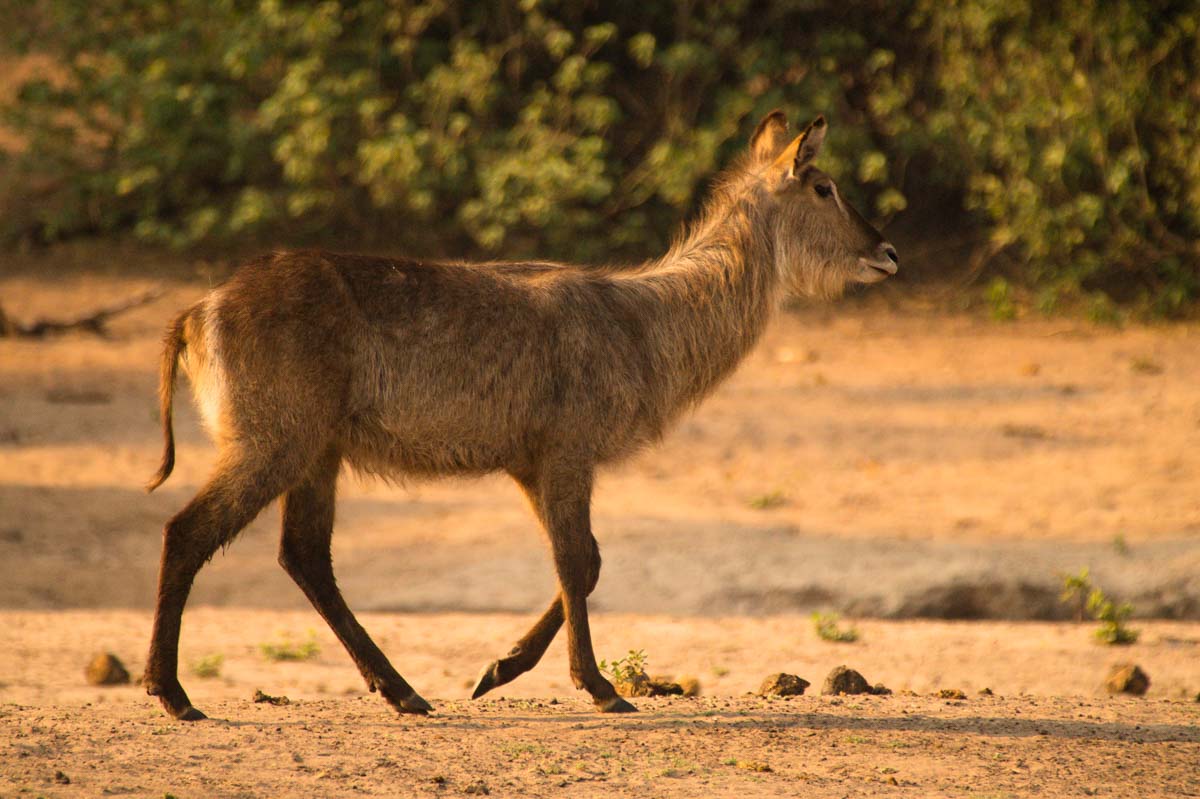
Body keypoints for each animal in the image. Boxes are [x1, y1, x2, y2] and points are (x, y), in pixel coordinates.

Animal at [142, 110, 902, 715]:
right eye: (824, 186)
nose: (888, 252)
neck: (645, 324)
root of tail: (197, 310)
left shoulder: (532, 463)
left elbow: (587, 561)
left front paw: (498, 670)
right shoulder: (567, 451)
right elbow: (574, 559)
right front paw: (599, 687)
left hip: (316, 453)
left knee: (304, 555)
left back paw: (405, 692)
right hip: (272, 443)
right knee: (186, 531)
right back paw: (174, 694)